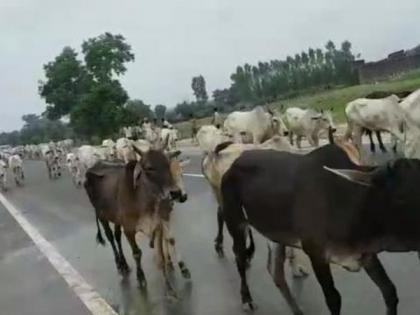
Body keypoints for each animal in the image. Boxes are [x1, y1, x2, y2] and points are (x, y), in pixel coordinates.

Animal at [84, 144, 189, 298]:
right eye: (149, 168)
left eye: (167, 163)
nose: (176, 193)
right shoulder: (129, 229)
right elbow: (137, 253)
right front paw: (141, 278)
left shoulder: (158, 224)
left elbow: (162, 255)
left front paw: (170, 288)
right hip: (102, 215)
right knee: (110, 237)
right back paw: (119, 264)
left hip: (117, 219)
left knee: (117, 236)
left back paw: (125, 265)